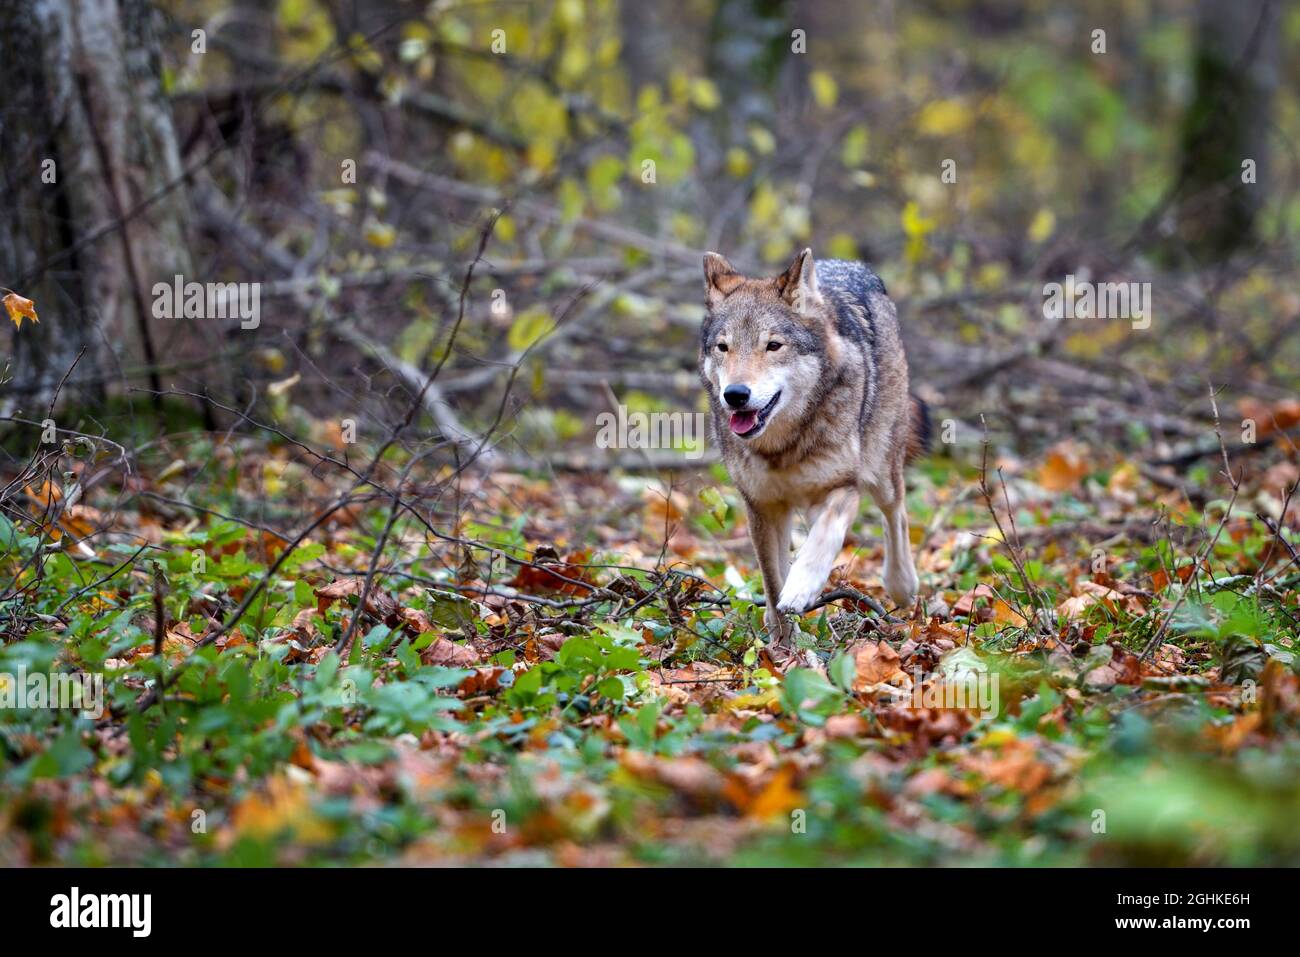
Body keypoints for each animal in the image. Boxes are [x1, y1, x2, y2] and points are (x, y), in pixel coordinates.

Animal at [698, 249, 930, 645]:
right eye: (723, 347)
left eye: (773, 345)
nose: (735, 395)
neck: (783, 448)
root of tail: (851, 265)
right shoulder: (762, 506)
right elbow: (772, 581)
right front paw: (782, 644)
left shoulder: (844, 487)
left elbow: (822, 540)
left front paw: (801, 588)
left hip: (881, 469)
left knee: (895, 514)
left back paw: (901, 585)